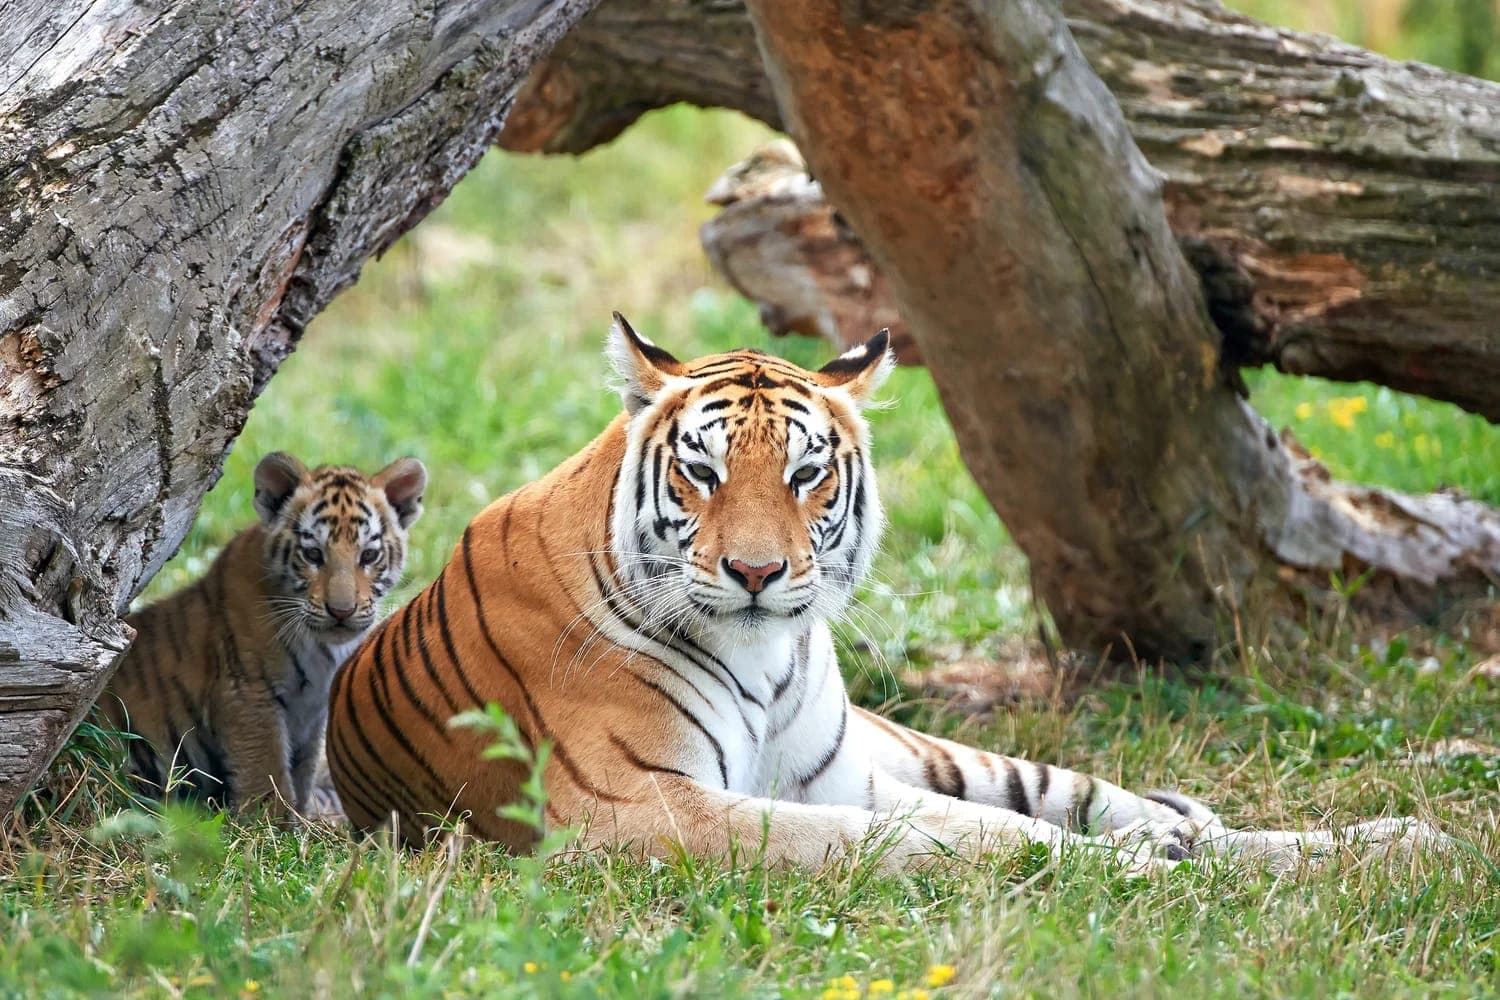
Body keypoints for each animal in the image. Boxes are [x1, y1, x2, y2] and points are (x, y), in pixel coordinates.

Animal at [101, 451, 427, 816]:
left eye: (369, 555)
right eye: (313, 554)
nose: (341, 611)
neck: (323, 649)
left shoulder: (313, 714)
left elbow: (303, 770)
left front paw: (301, 816)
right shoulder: (248, 691)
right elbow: (266, 770)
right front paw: (273, 821)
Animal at [325, 316, 1444, 873]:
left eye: (805, 475)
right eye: (702, 473)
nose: (757, 574)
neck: (765, 658)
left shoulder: (838, 776)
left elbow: (979, 820)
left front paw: (1149, 849)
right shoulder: (631, 811)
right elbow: (929, 838)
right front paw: (1115, 864)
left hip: (924, 747)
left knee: (1095, 792)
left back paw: (1392, 842)